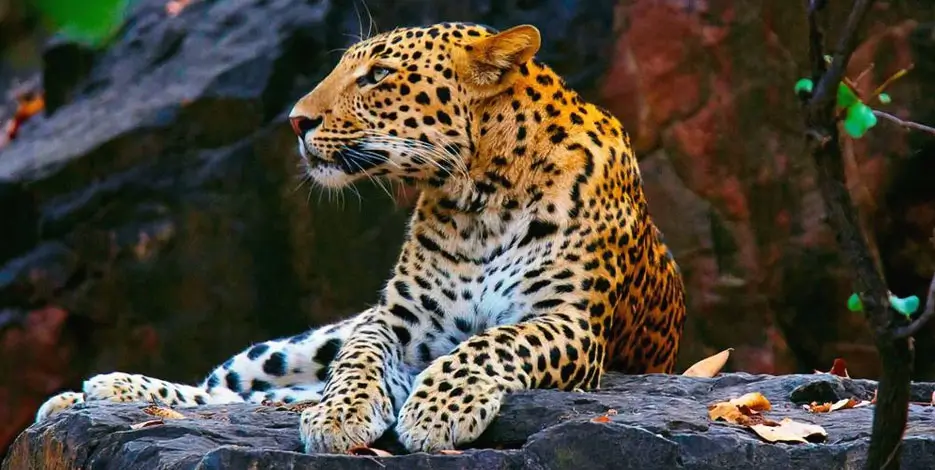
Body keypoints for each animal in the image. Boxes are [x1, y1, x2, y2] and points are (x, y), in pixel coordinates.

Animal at [34, 22, 687, 454]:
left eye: (378, 77)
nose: (296, 121)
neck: (480, 197)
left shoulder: (569, 321)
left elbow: (492, 343)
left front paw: (436, 410)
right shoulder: (395, 320)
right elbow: (359, 359)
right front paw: (341, 415)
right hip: (291, 347)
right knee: (232, 388)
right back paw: (102, 391)